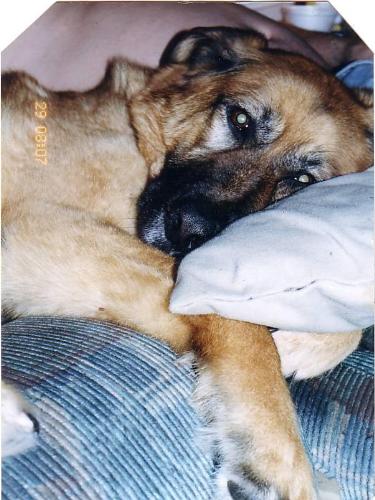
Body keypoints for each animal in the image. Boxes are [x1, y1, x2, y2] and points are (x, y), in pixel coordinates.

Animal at [2, 28, 374, 500]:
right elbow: (243, 327)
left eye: (303, 180)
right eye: (239, 120)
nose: (187, 232)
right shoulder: (41, 225)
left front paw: (297, 344)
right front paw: (276, 455)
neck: (141, 137)